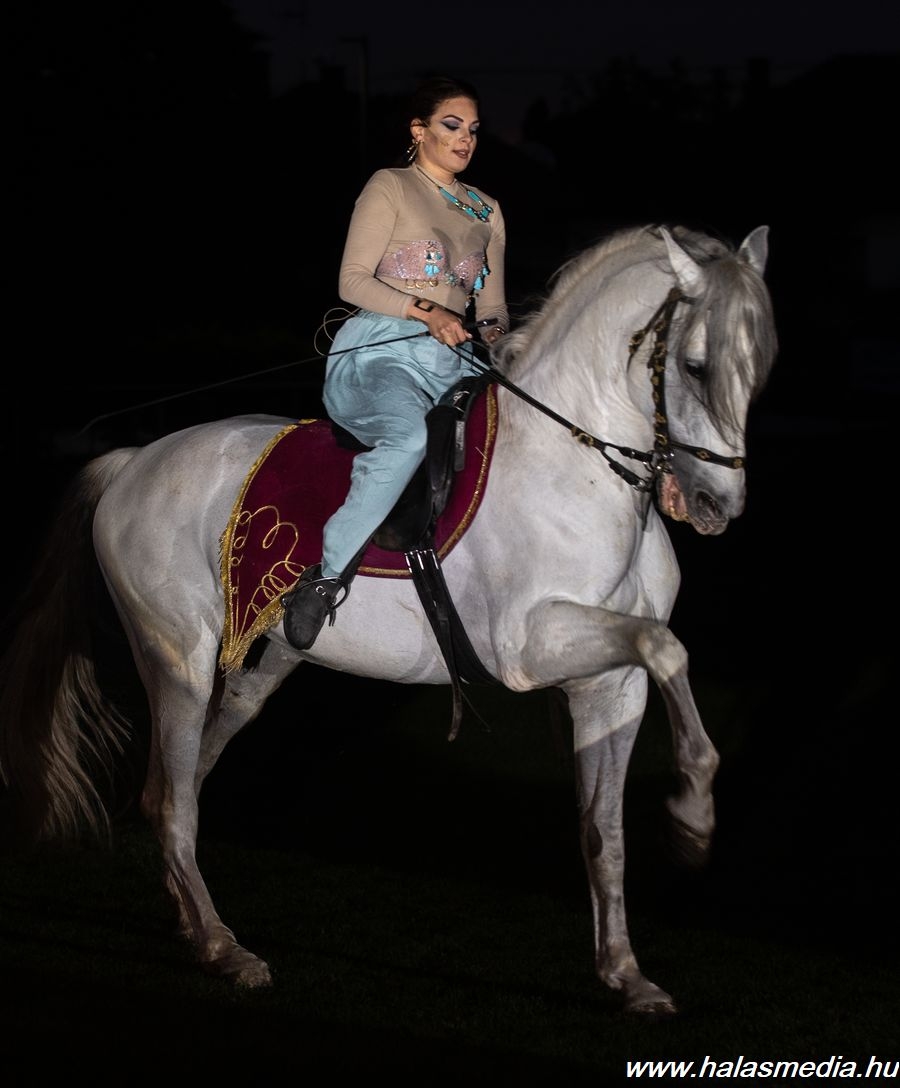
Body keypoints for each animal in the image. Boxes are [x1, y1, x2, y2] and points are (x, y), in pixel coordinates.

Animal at [0, 223, 776, 1016]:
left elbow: (604, 829)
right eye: (694, 366)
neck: (574, 468)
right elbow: (668, 646)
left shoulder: (609, 683)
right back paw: (224, 949)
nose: (716, 505)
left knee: (177, 784)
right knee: (174, 799)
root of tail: (131, 462)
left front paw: (626, 974)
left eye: (760, 368)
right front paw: (693, 816)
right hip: (178, 660)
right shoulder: (532, 648)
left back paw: (195, 928)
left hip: (255, 668)